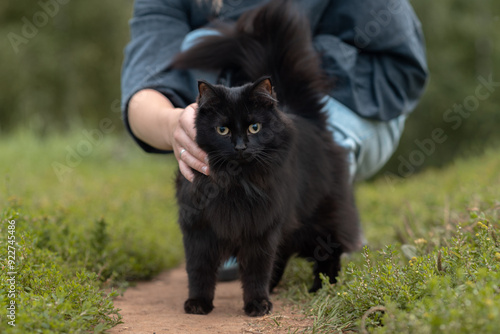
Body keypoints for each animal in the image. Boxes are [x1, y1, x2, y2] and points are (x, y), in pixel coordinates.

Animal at [171, 0, 360, 318]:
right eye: (222, 130)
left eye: (254, 127)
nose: (240, 146)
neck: (236, 182)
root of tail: (306, 117)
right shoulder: (199, 230)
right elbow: (199, 271)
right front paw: (198, 303)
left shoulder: (260, 229)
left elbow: (257, 271)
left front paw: (258, 303)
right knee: (283, 255)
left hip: (320, 216)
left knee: (329, 252)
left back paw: (324, 288)